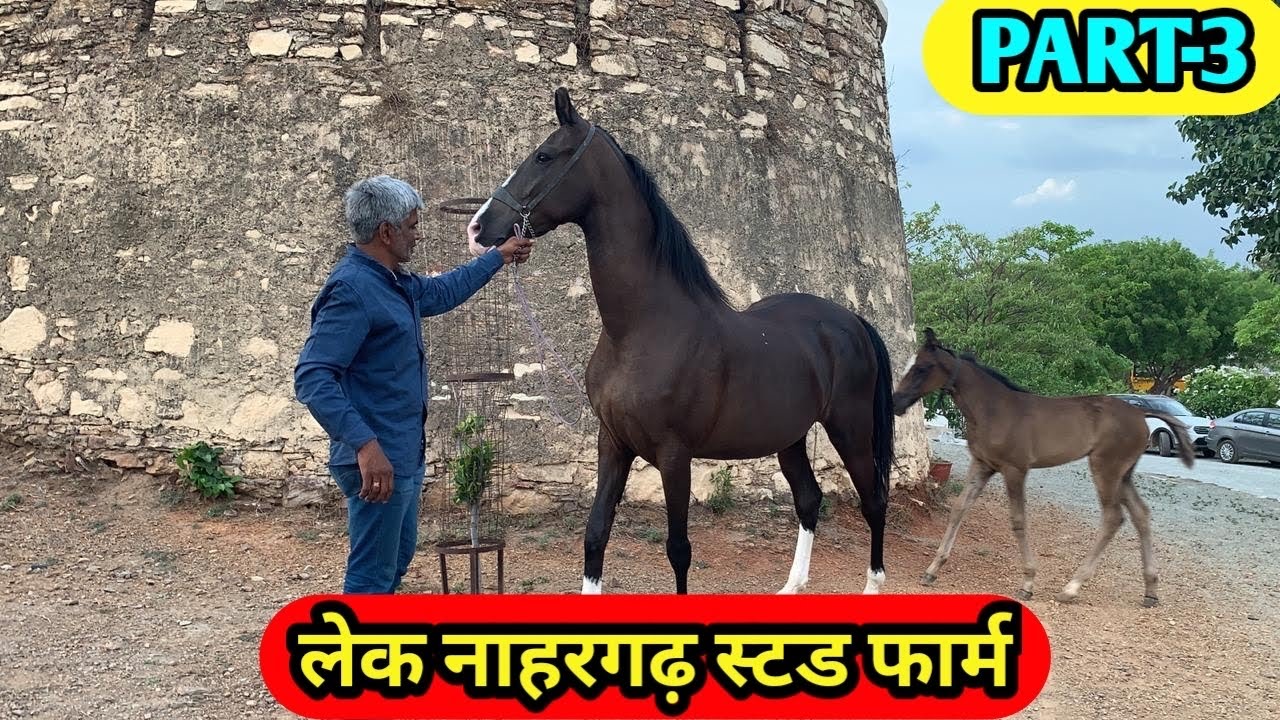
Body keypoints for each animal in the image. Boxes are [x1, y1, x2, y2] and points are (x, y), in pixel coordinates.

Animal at [465, 87, 897, 596]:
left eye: (543, 156)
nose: (478, 228)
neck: (641, 330)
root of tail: (852, 321)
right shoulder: (612, 445)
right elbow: (595, 534)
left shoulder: (675, 456)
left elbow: (678, 550)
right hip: (789, 436)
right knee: (809, 500)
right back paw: (792, 586)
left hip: (850, 428)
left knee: (874, 501)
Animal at [891, 328, 1194, 608]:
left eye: (922, 367)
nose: (897, 402)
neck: (993, 409)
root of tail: (1141, 412)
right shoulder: (982, 465)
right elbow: (958, 509)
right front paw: (932, 570)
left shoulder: (1015, 469)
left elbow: (1018, 520)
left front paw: (1028, 582)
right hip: (1124, 474)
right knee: (1141, 514)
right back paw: (1150, 590)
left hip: (1105, 468)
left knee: (1113, 517)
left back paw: (1071, 588)